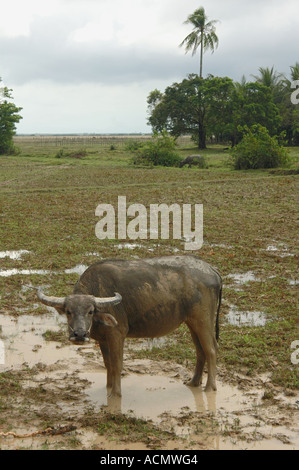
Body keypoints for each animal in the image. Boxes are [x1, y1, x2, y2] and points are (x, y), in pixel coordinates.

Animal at [37, 258, 221, 396]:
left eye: (90, 311)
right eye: (69, 312)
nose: (79, 335)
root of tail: (212, 270)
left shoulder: (117, 335)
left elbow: (117, 364)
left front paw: (115, 394)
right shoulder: (103, 339)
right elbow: (108, 364)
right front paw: (108, 387)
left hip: (203, 320)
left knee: (211, 350)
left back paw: (209, 387)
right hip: (191, 322)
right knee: (200, 350)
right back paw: (193, 382)